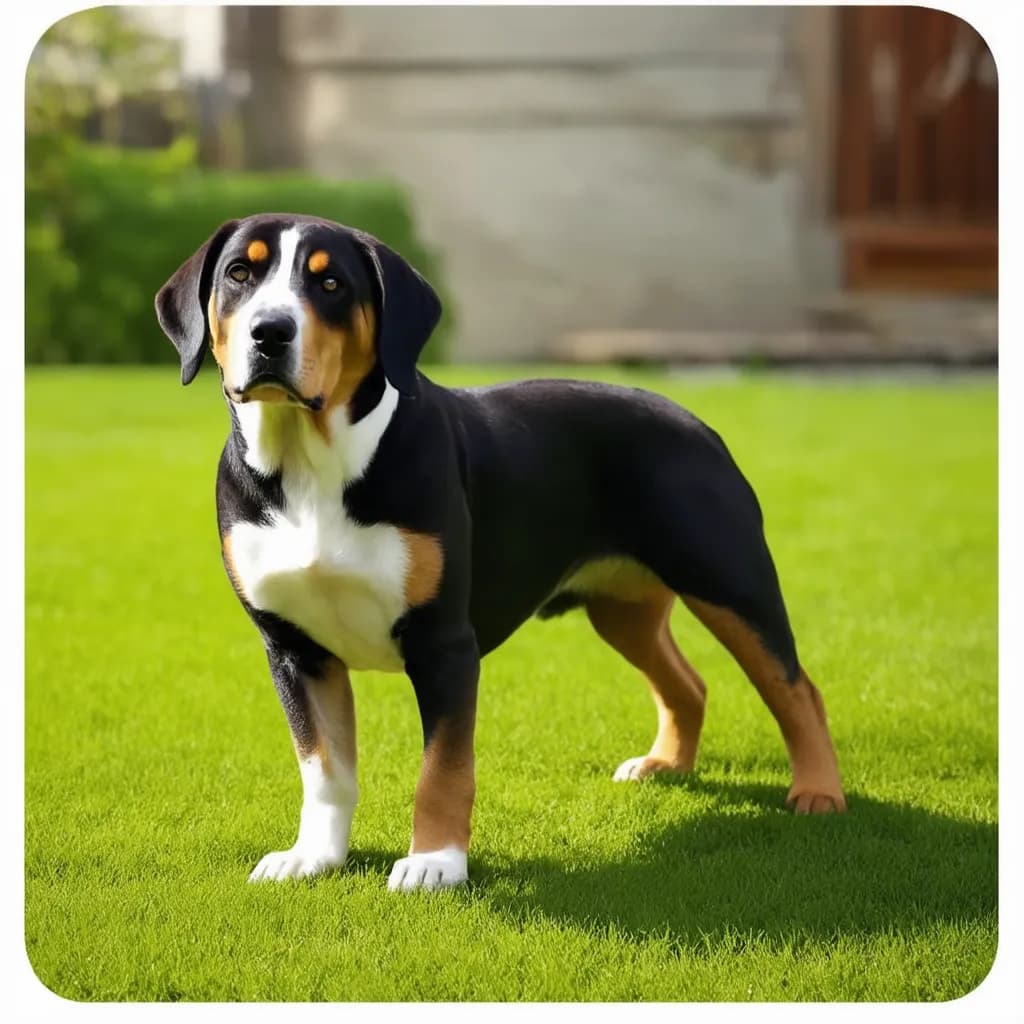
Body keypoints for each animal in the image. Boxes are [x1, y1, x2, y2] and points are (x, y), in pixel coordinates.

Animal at [155, 214, 847, 888]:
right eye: (240, 274)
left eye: (330, 285)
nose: (270, 332)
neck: (309, 465)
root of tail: (691, 421)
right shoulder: (295, 649)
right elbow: (324, 769)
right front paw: (313, 857)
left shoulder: (444, 644)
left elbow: (443, 768)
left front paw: (435, 863)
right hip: (622, 612)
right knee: (688, 684)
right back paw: (666, 764)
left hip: (729, 581)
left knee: (795, 688)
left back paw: (818, 793)